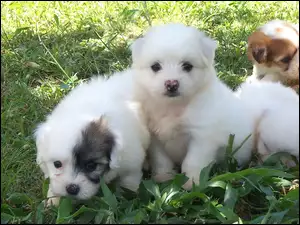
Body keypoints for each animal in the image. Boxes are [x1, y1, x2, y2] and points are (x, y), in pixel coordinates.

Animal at [34, 70, 149, 206]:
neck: (84, 112)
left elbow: (129, 182)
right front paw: (54, 199)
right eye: (57, 164)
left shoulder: (131, 164)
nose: (72, 189)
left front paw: (128, 198)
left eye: (91, 166)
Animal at [130, 23, 256, 190]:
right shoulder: (155, 138)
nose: (171, 84)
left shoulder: (201, 136)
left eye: (187, 66)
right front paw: (163, 178)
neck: (174, 107)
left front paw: (192, 184)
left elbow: (192, 162)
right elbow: (161, 160)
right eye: (155, 66)